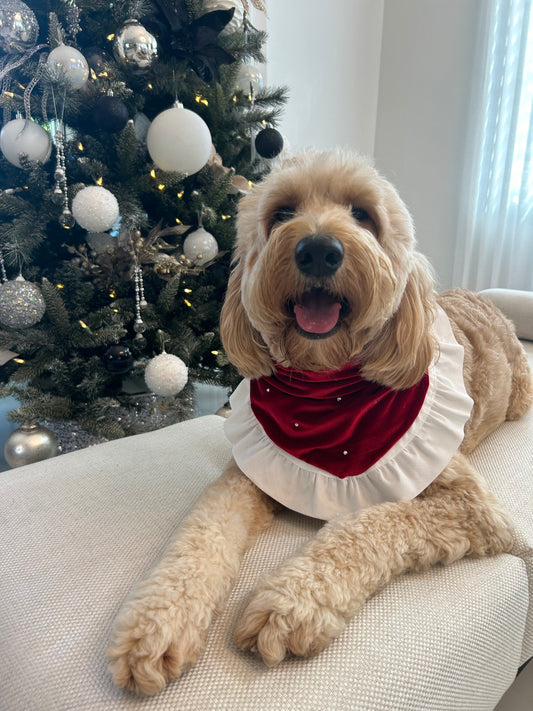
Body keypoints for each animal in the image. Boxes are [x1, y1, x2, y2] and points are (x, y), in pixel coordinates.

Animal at [105, 152, 532, 696]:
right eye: (283, 213)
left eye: (363, 215)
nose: (318, 251)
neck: (326, 389)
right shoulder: (248, 474)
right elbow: (201, 532)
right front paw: (156, 622)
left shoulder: (474, 509)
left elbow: (374, 521)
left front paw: (290, 605)